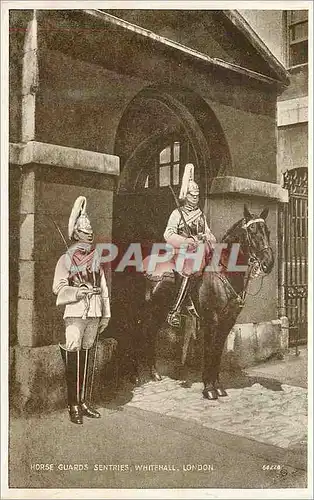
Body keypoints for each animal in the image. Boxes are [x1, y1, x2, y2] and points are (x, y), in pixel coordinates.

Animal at [131, 205, 274, 400]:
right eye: (252, 231)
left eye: (267, 231)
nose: (268, 263)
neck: (223, 272)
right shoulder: (211, 321)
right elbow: (210, 352)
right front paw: (209, 389)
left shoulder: (227, 322)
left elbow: (217, 354)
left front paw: (218, 386)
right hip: (142, 310)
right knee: (137, 335)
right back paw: (136, 376)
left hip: (158, 310)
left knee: (150, 335)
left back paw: (154, 373)